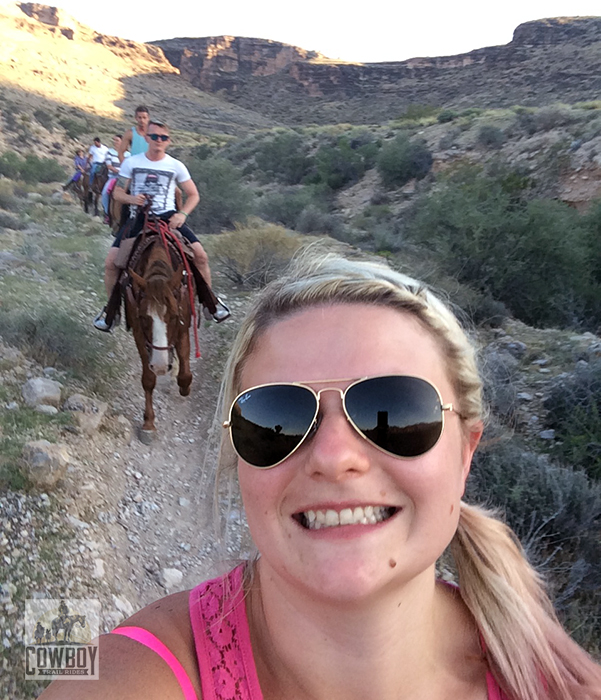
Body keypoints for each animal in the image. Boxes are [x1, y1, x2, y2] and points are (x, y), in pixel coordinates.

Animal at [123, 232, 193, 440]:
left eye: (174, 316)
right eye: (143, 317)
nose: (161, 365)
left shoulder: (183, 328)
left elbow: (185, 373)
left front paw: (184, 387)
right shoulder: (139, 334)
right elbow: (148, 379)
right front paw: (148, 424)